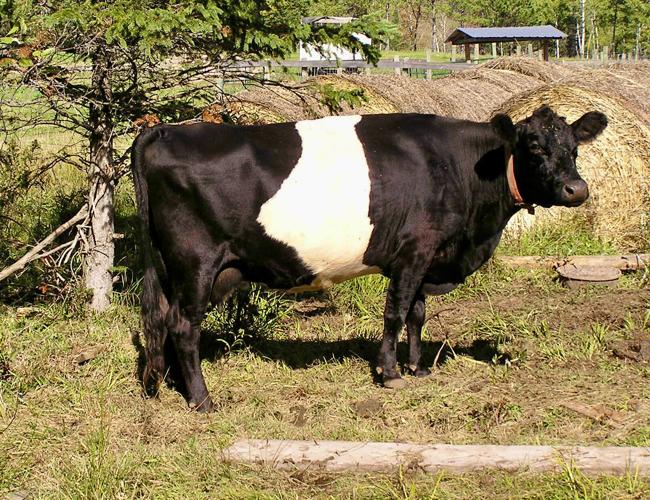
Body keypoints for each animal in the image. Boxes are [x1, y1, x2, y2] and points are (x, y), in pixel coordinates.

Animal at [131, 106, 607, 412]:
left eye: (574, 148)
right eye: (534, 146)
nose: (577, 189)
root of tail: (167, 131)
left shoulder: (425, 257)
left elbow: (417, 312)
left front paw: (418, 368)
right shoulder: (415, 248)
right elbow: (396, 312)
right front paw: (391, 373)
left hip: (180, 269)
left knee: (165, 322)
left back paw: (173, 384)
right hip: (197, 262)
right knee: (183, 326)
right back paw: (202, 400)